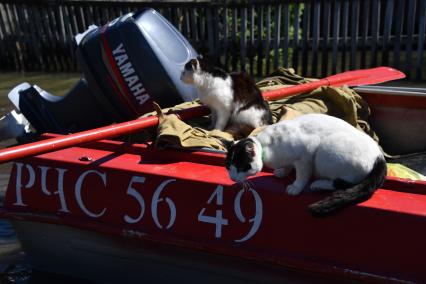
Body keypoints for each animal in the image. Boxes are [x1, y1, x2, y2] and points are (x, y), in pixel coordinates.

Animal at [223, 112, 386, 215]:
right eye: (229, 167)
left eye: (240, 167)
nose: (232, 178)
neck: (267, 146)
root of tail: (379, 156)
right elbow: (288, 165)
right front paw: (282, 171)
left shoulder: (306, 153)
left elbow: (302, 174)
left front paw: (296, 187)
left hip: (325, 150)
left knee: (343, 183)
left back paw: (319, 184)